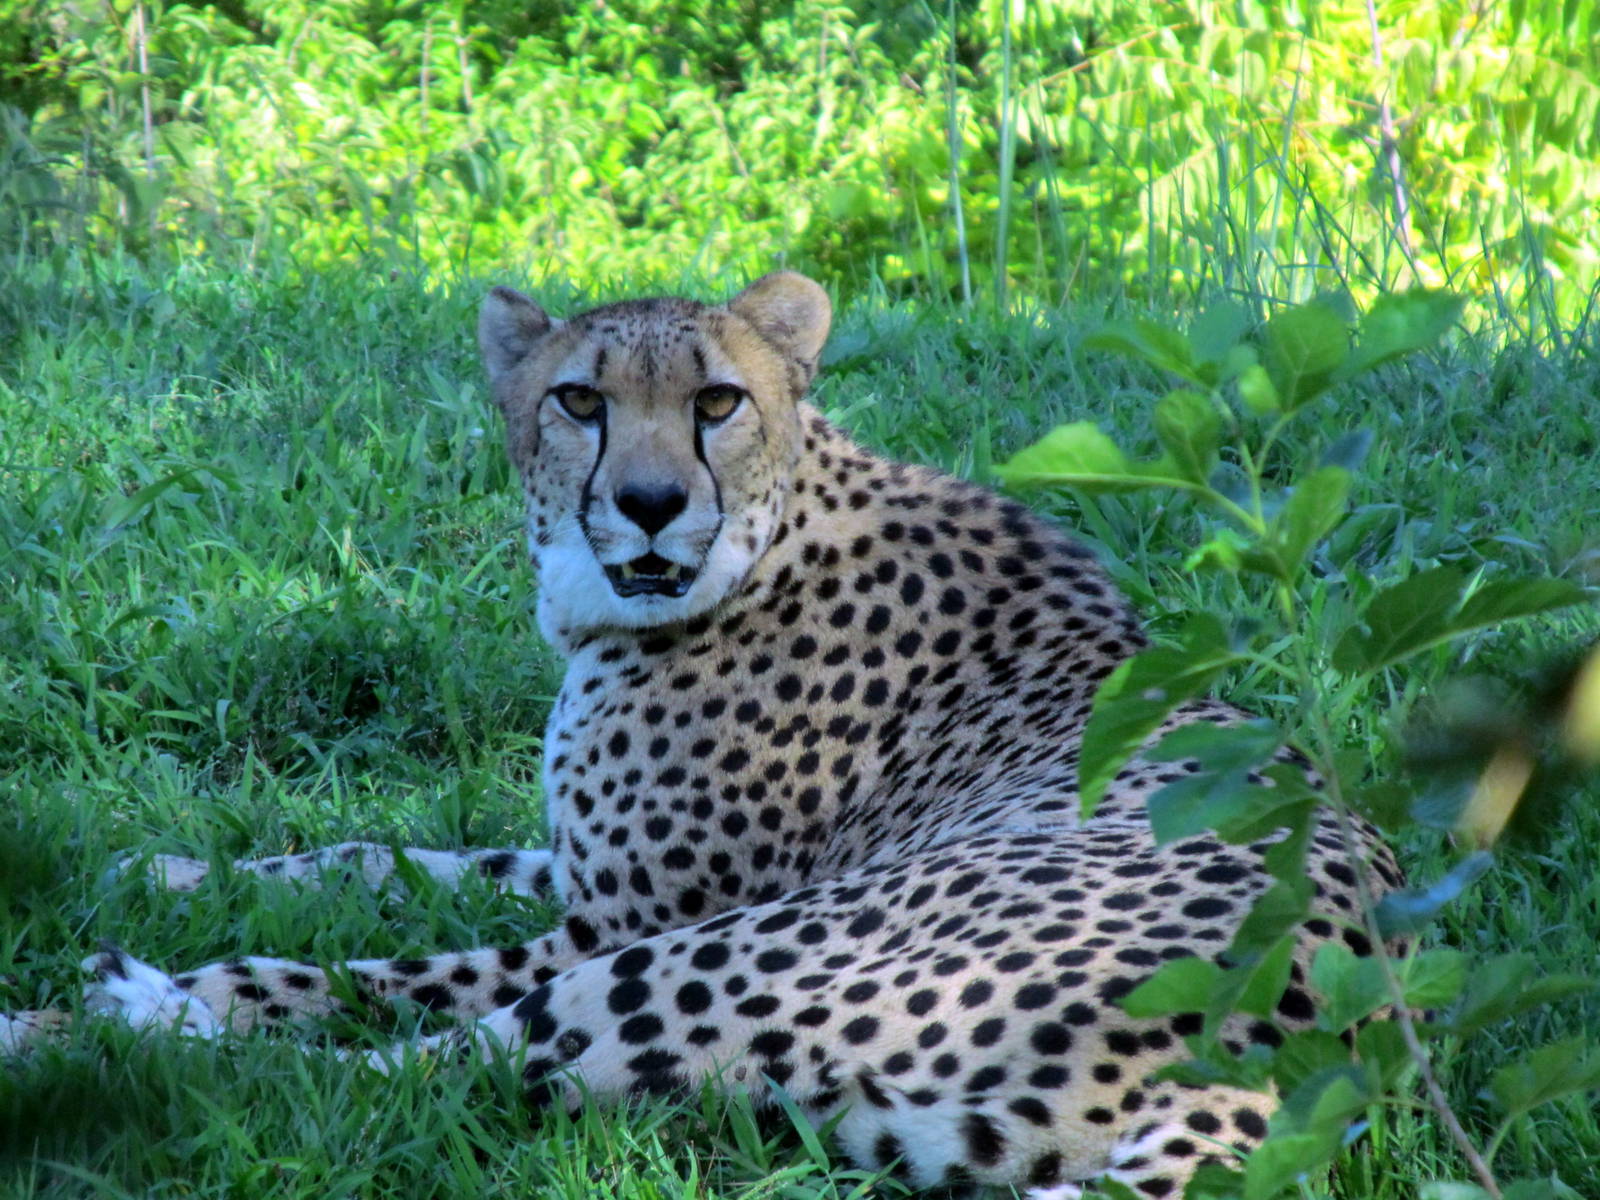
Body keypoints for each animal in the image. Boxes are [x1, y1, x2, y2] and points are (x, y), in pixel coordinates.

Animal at [2, 271, 1402, 1198]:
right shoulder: (583, 879)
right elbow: (374, 859)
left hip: (722, 962)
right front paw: (163, 868)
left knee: (393, 1070)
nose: (648, 502)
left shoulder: (615, 925)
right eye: (579, 399)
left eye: (717, 401)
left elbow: (358, 971)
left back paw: (98, 1022)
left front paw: (178, 970)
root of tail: (1295, 1048)